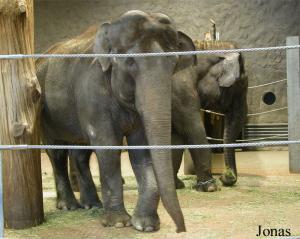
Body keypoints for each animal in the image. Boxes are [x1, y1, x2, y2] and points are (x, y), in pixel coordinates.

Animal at [35, 10, 197, 232]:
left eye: (174, 63)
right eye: (130, 61)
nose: (180, 229)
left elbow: (141, 149)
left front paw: (145, 225)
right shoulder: (93, 93)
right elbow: (108, 147)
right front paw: (119, 223)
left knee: (80, 153)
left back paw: (92, 204)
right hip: (45, 113)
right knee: (57, 152)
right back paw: (69, 206)